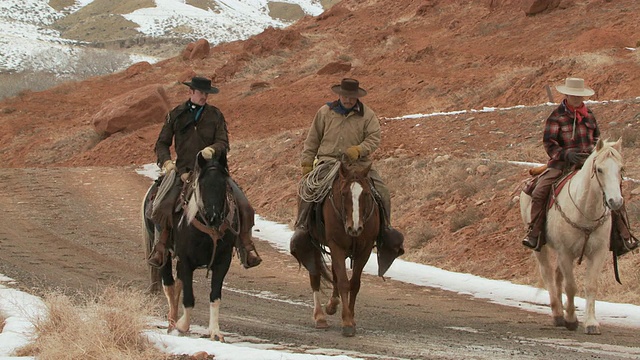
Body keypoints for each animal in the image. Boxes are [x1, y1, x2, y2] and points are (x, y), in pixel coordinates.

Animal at [304, 162, 380, 336]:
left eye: (366, 193)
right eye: (344, 194)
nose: (355, 228)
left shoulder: (365, 249)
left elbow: (354, 283)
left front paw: (351, 317)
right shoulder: (336, 245)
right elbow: (344, 282)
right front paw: (347, 322)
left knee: (334, 273)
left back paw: (332, 304)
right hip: (315, 244)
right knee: (315, 276)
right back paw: (320, 317)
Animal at [520, 138, 624, 334]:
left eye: (621, 169)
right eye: (599, 169)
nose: (616, 201)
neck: (585, 211)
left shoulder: (598, 253)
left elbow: (590, 285)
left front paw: (591, 323)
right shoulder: (565, 253)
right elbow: (571, 286)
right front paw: (570, 319)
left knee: (557, 276)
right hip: (541, 248)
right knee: (548, 274)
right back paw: (558, 314)